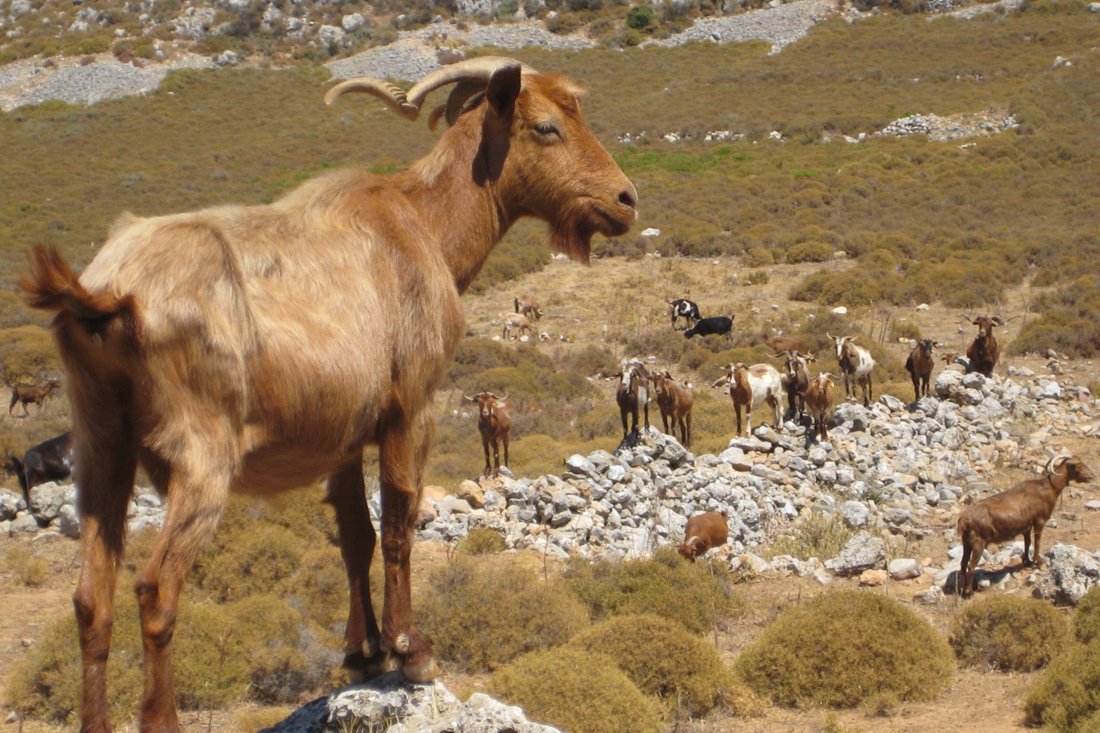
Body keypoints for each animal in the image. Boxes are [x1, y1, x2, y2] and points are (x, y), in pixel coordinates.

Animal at [21, 56, 637, 732]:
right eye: (546, 126)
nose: (625, 200)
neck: (425, 224)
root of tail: (106, 293)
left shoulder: (343, 435)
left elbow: (354, 534)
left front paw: (361, 653)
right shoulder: (410, 407)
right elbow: (398, 520)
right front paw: (409, 649)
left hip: (101, 441)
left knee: (90, 598)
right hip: (202, 455)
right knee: (156, 590)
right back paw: (161, 718)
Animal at [956, 453, 1094, 597]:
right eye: (1077, 465)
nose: (1092, 476)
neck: (1048, 487)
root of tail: (964, 519)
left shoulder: (1026, 527)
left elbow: (1027, 543)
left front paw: (1027, 562)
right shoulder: (1039, 521)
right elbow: (1037, 542)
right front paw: (1039, 562)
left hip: (966, 542)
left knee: (963, 563)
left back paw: (960, 590)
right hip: (978, 542)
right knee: (971, 566)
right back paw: (969, 593)